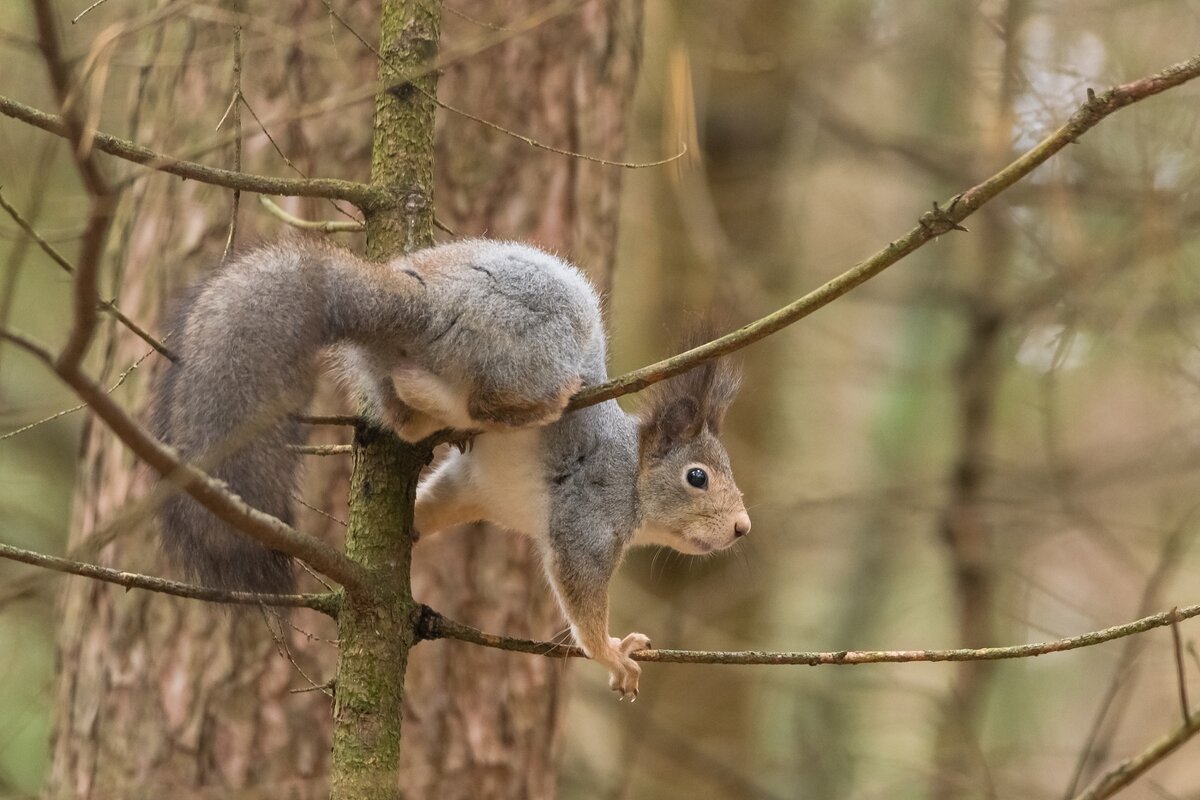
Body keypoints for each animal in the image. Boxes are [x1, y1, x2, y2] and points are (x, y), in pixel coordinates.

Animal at [152, 235, 748, 695]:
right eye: (697, 477)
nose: (743, 528)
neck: (632, 473)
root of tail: (424, 305)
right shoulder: (587, 516)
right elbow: (581, 595)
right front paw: (611, 652)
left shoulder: (477, 487)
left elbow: (439, 501)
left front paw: (413, 524)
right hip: (532, 342)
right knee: (485, 402)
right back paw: (538, 402)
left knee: (405, 407)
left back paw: (419, 405)